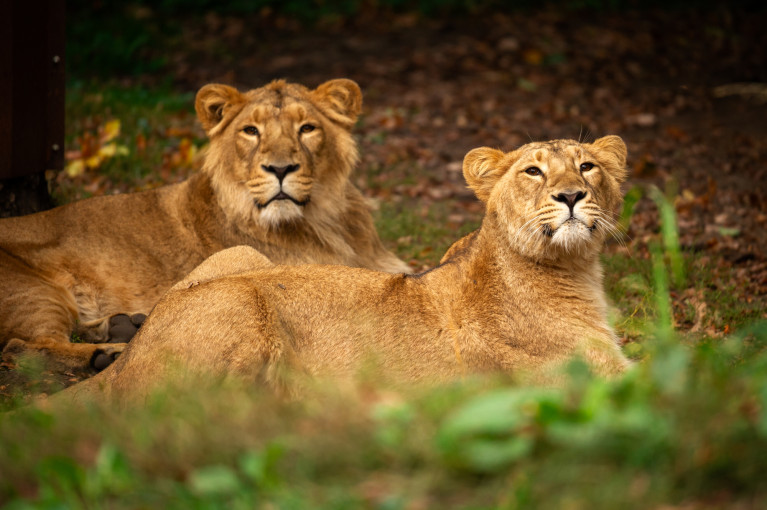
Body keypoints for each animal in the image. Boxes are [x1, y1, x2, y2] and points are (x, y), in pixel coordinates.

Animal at [0, 78, 410, 374]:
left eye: (307, 128)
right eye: (251, 131)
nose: (279, 169)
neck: (327, 221)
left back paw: (126, 325)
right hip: (35, 292)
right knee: (20, 347)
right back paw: (109, 354)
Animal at [58, 135, 632, 404]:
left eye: (587, 166)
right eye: (533, 171)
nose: (571, 195)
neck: (576, 269)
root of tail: (137, 355)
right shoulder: (589, 378)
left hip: (240, 257)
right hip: (241, 310)